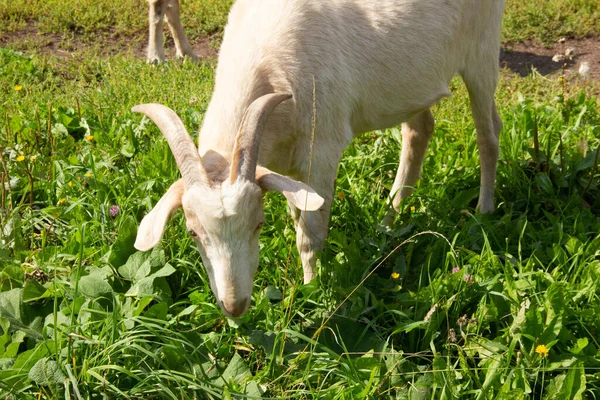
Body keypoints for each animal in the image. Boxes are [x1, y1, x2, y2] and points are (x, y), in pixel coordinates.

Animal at [132, 0, 506, 318]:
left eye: (258, 225)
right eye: (193, 233)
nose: (234, 306)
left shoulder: (322, 149)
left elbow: (310, 234)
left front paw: (312, 293)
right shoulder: (285, 167)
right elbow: (299, 214)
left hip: (483, 51)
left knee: (488, 133)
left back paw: (484, 211)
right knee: (420, 130)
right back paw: (390, 219)